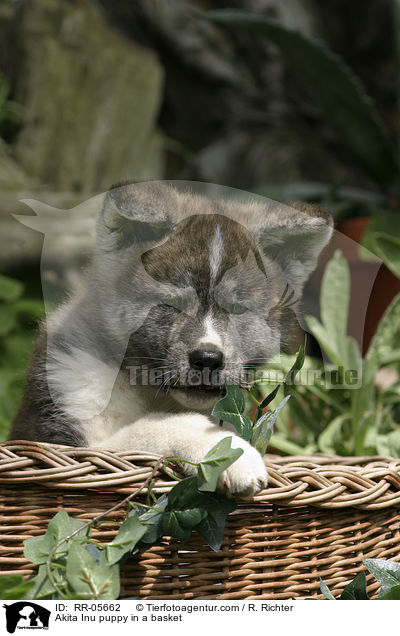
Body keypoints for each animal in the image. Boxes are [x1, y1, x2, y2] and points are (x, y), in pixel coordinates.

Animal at [10, 180, 332, 496]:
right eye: (171, 304)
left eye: (238, 308)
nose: (207, 359)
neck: (148, 390)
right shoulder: (68, 436)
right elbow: (156, 425)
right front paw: (229, 453)